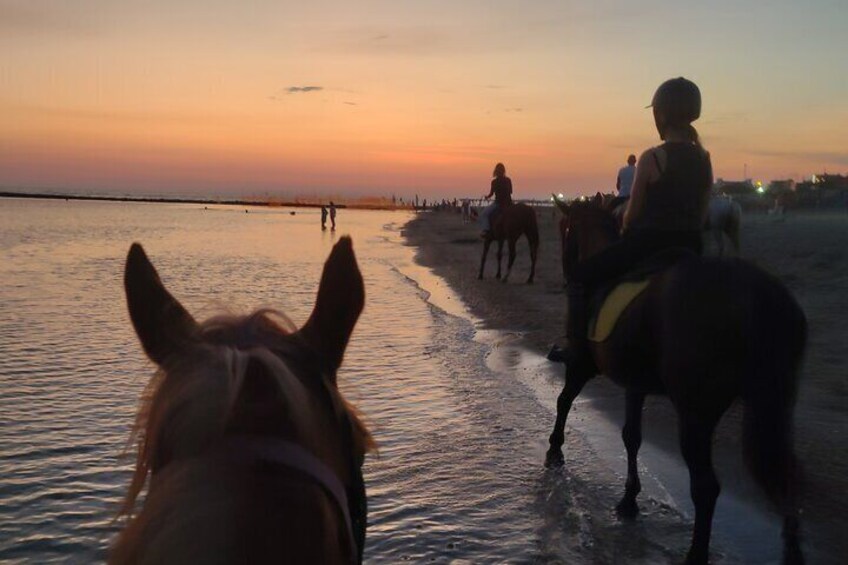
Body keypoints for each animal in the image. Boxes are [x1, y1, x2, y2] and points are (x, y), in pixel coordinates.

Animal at [548, 199, 804, 564]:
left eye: (564, 228)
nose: (567, 271)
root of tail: (755, 296)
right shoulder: (635, 383)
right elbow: (631, 436)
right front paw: (629, 500)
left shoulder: (582, 365)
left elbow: (564, 400)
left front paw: (554, 448)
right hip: (774, 402)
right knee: (785, 473)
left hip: (696, 412)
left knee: (707, 486)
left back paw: (696, 553)